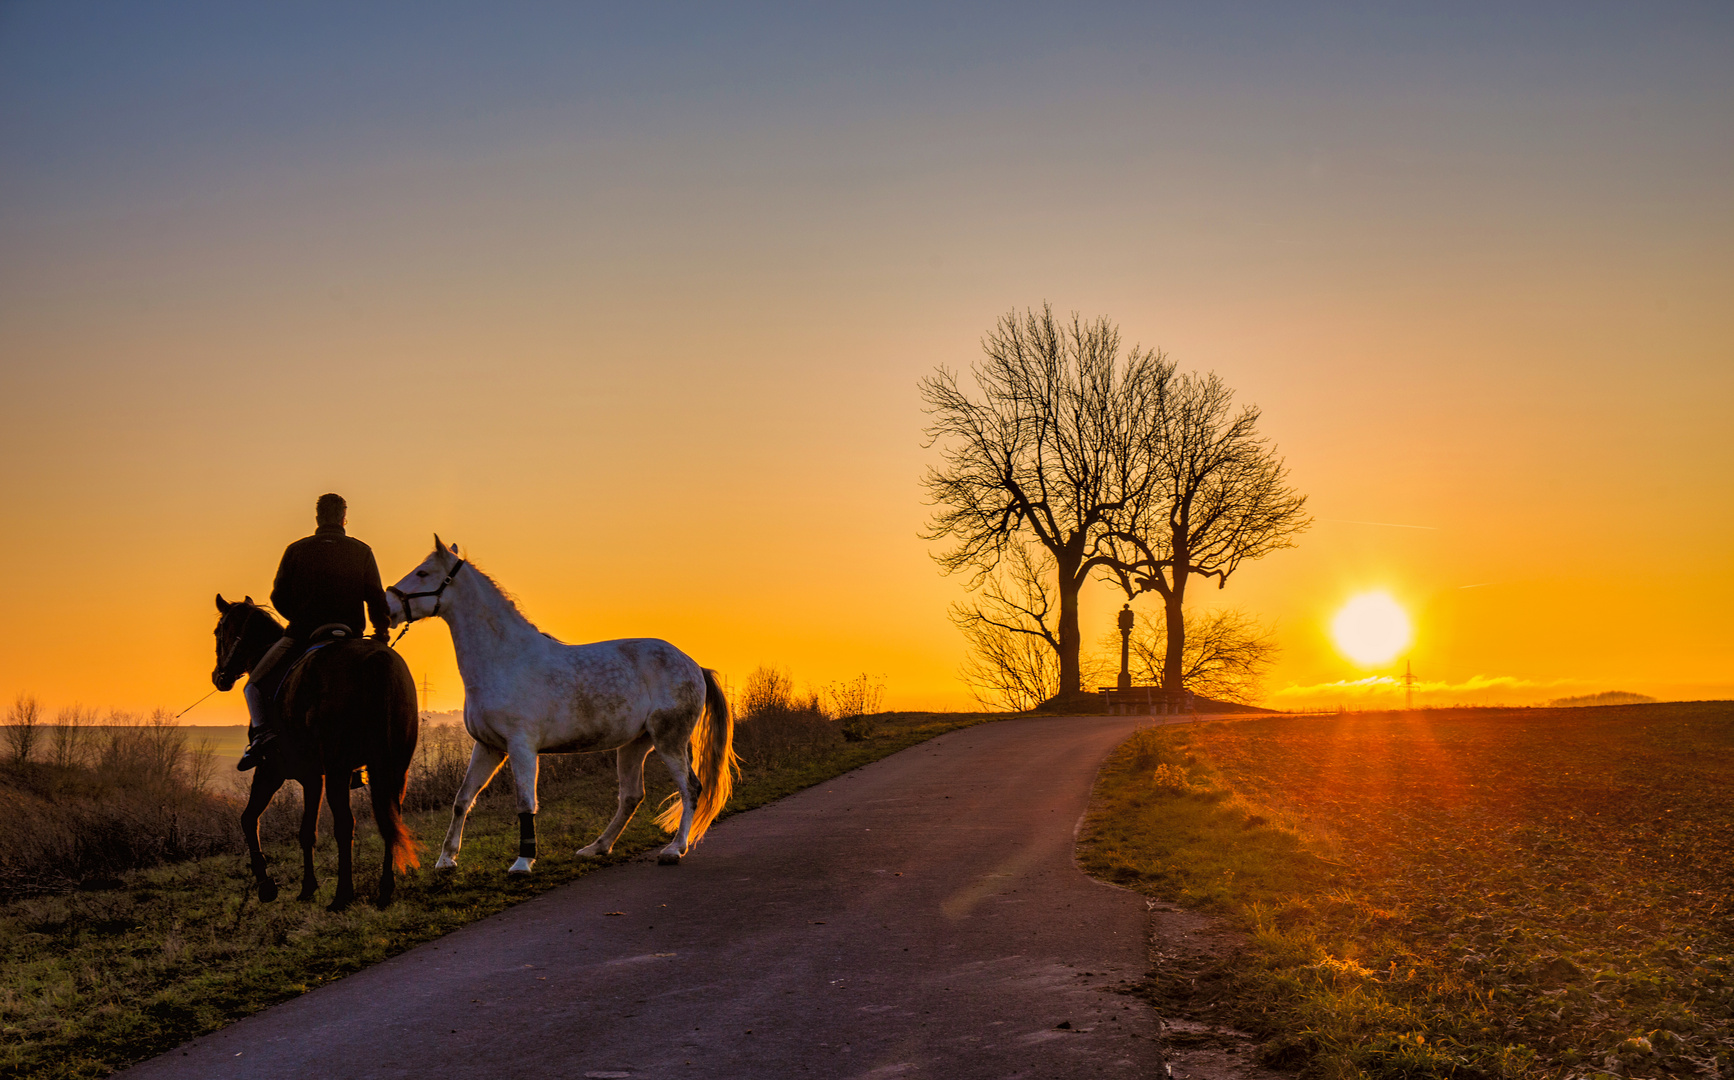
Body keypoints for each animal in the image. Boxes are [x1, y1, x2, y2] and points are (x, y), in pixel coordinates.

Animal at [212, 596, 419, 908]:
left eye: (218, 633)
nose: (218, 677)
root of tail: (377, 660)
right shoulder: (312, 776)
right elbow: (307, 831)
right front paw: (307, 888)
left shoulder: (272, 770)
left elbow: (249, 819)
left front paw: (266, 886)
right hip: (393, 769)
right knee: (391, 818)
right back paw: (385, 890)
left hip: (337, 770)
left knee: (346, 825)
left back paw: (342, 896)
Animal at [390, 537, 735, 873]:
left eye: (422, 573)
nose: (389, 606)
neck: (504, 660)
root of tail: (695, 665)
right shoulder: (489, 747)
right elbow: (462, 799)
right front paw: (446, 860)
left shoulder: (521, 747)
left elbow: (525, 803)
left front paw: (523, 862)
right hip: (635, 744)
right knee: (631, 796)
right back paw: (596, 847)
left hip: (669, 741)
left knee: (690, 788)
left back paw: (674, 849)